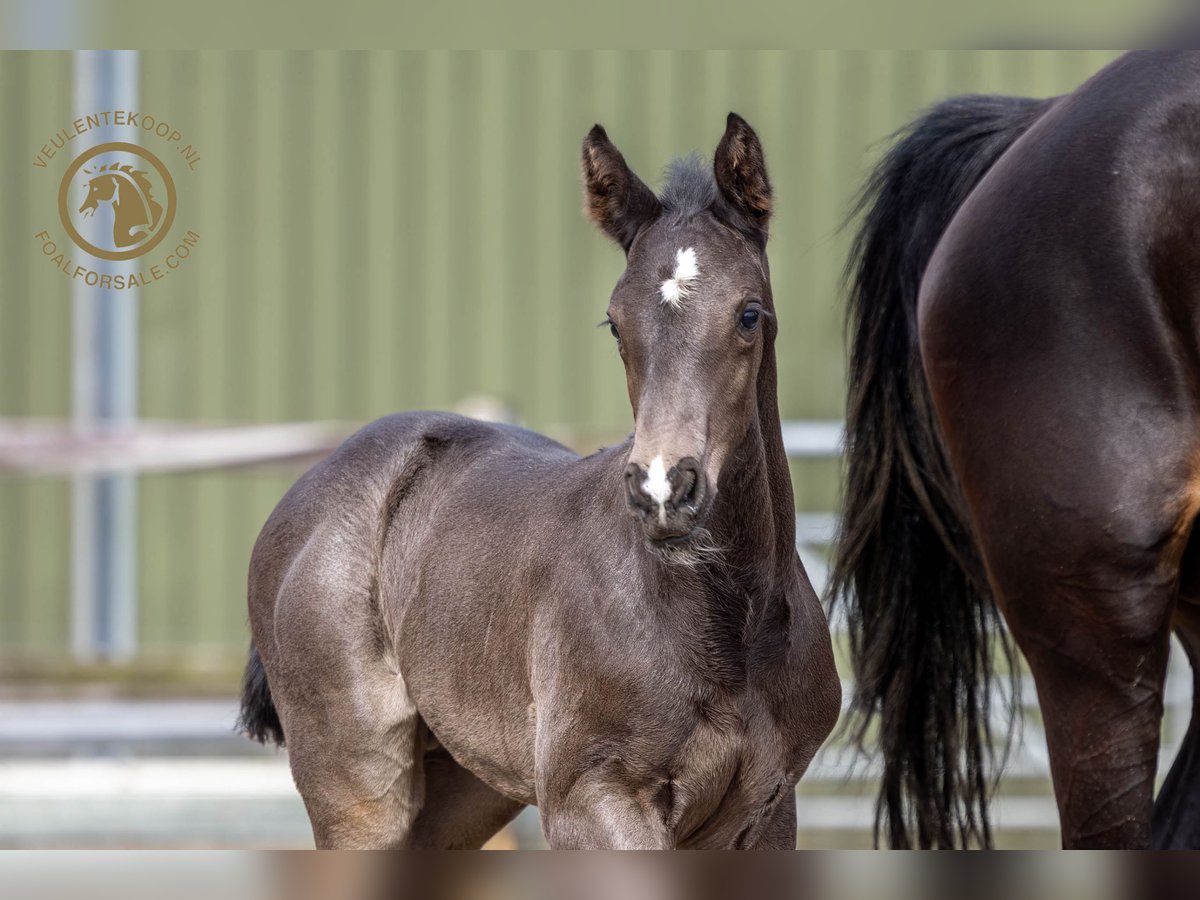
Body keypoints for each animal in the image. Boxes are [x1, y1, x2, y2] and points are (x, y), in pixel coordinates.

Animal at [238, 114, 840, 854]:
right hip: (357, 787)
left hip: (467, 783)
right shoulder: (590, 798)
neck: (731, 628)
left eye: (749, 313)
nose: (664, 489)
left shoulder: (766, 811)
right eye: (615, 322)